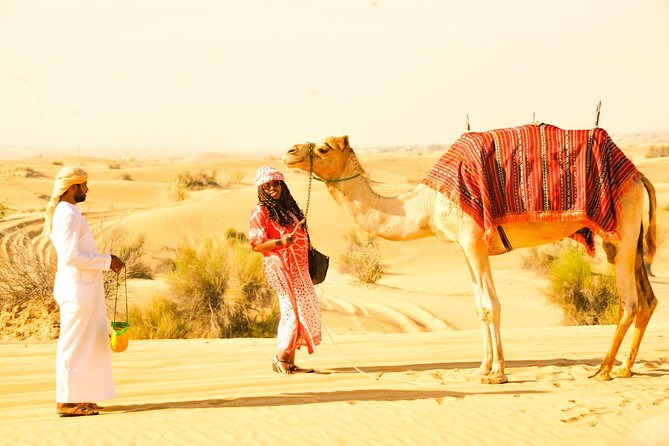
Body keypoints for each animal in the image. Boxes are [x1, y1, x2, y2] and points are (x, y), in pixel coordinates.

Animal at [282, 123, 656, 386]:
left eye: (323, 147)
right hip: (627, 237)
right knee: (648, 300)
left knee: (630, 301)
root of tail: (638, 176)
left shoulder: (473, 238)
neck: (427, 203)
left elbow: (490, 306)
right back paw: (625, 368)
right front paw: (483, 367)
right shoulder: (467, 245)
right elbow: (481, 306)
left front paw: (497, 373)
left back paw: (604, 369)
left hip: (621, 232)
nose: (288, 151)